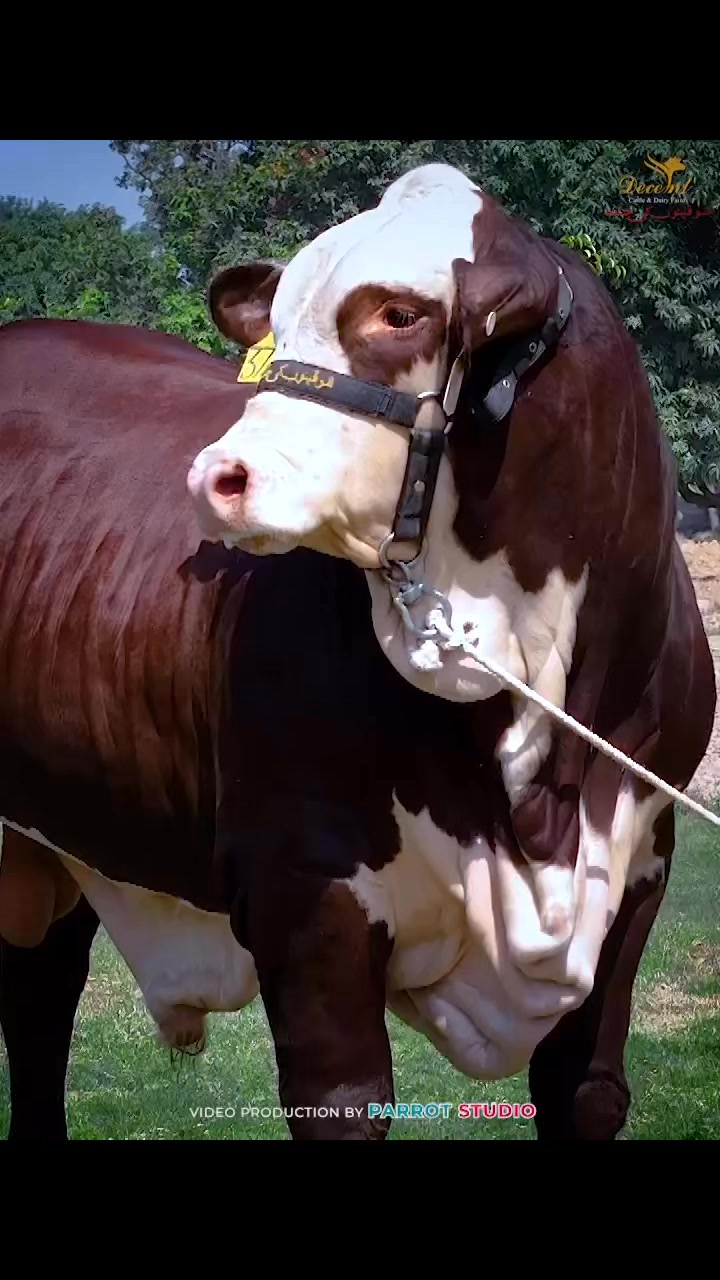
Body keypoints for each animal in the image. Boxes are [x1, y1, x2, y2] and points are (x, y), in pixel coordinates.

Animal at [0, 163, 714, 1142]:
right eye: (278, 321)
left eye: (399, 314)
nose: (216, 478)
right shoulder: (308, 893)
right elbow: (343, 1096)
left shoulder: (639, 878)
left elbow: (589, 1088)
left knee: (38, 994)